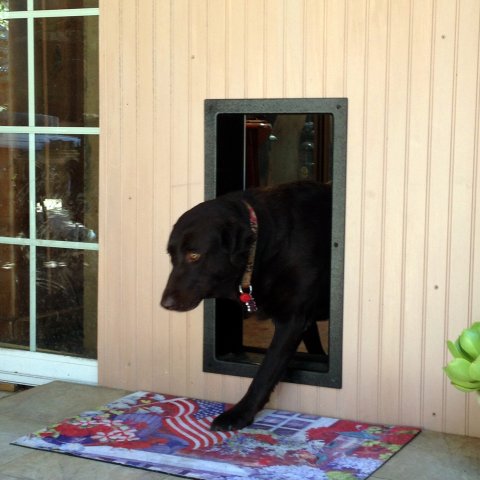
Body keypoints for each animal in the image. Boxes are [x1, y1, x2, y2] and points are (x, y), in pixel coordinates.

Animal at [160, 180, 330, 432]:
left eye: (194, 255)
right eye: (172, 256)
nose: (165, 304)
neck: (263, 244)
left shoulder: (292, 320)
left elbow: (265, 372)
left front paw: (239, 414)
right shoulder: (305, 321)